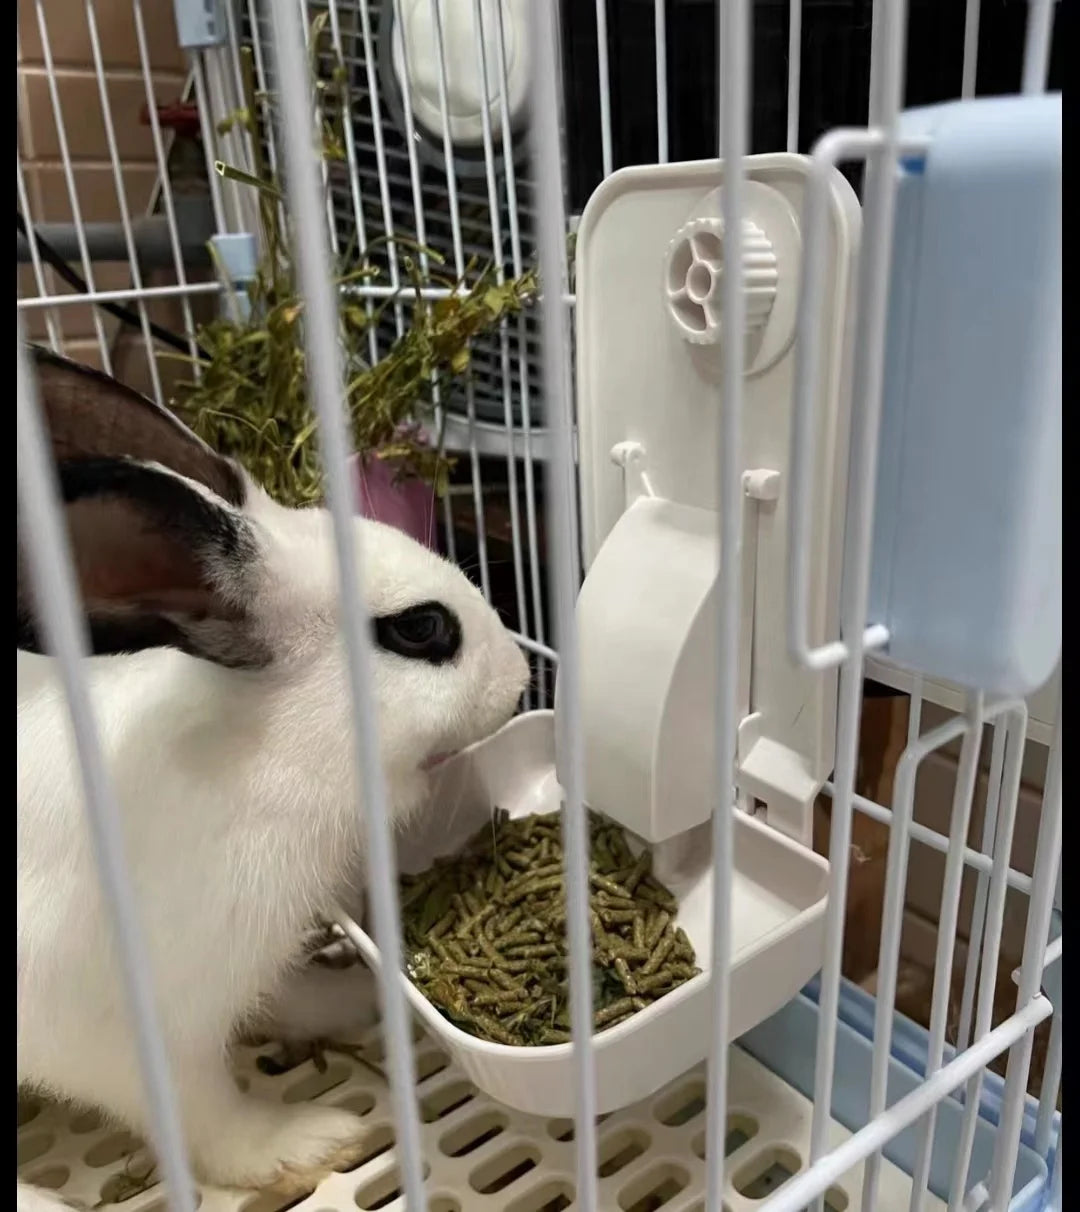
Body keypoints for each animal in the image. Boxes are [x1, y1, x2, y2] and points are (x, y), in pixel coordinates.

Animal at [16, 346, 529, 1203]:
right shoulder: (122, 1033)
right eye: (422, 629)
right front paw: (302, 1145)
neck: (257, 753)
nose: (523, 676)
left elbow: (281, 996)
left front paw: (351, 998)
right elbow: (203, 1114)